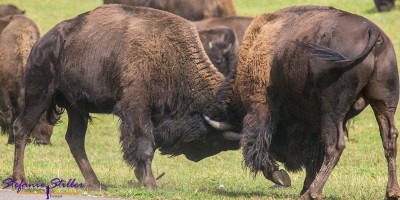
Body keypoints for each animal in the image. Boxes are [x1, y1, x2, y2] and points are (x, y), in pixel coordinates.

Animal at [12, 5, 239, 191]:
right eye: (213, 139)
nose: (195, 157)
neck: (171, 55)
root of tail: (41, 43)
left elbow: (146, 144)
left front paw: (142, 178)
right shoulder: (136, 109)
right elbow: (145, 146)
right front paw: (150, 184)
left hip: (76, 107)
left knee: (75, 139)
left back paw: (96, 184)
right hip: (39, 95)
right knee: (22, 129)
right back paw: (20, 179)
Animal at [208, 5, 400, 199]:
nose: (285, 160)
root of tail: (373, 32)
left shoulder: (260, 107)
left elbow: (257, 142)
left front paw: (282, 178)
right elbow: (313, 156)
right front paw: (302, 184)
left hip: (332, 110)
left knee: (335, 146)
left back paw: (312, 193)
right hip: (384, 102)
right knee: (389, 139)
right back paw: (391, 192)